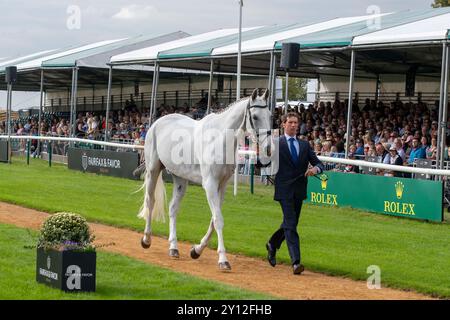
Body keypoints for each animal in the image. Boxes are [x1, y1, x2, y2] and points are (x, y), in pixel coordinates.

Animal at [137, 88, 270, 270]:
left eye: (270, 115)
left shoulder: (222, 185)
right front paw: (223, 260)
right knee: (150, 201)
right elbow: (218, 219)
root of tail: (157, 122)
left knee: (173, 208)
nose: (268, 148)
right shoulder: (210, 184)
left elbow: (214, 219)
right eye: (255, 117)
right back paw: (146, 239)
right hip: (153, 170)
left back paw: (173, 248)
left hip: (180, 179)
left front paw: (196, 250)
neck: (220, 140)